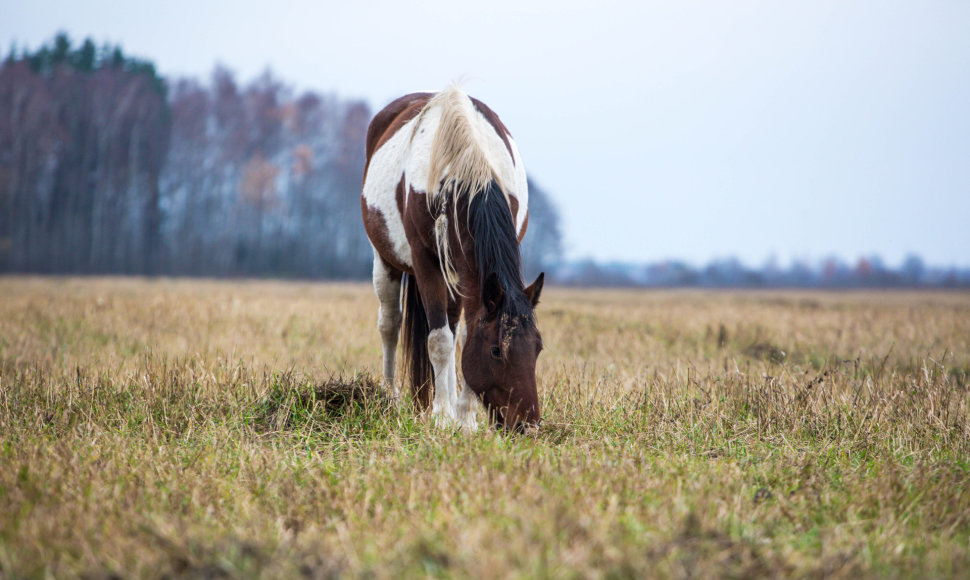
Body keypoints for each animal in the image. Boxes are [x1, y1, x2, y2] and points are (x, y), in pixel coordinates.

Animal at [362, 85, 544, 430]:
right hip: (385, 260)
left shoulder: (473, 277)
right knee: (390, 324)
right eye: (496, 351)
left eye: (538, 348)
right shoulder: (426, 261)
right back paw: (390, 399)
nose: (527, 425)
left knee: (453, 325)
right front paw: (442, 416)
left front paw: (465, 419)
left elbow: (463, 337)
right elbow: (439, 340)